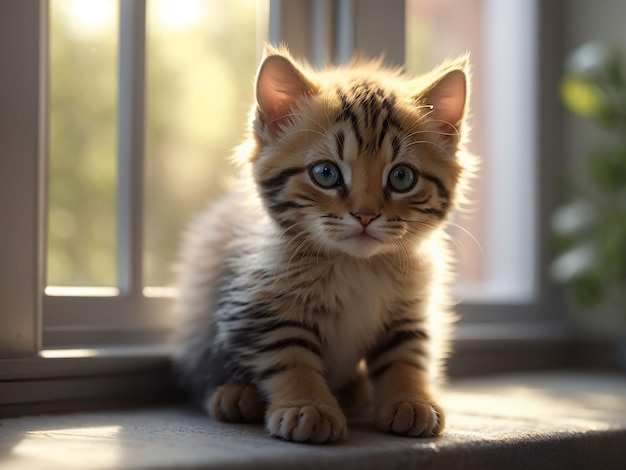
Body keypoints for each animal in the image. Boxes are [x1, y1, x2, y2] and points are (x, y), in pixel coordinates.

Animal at [172, 45, 472, 444]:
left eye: (401, 177)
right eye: (326, 174)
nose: (365, 215)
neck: (356, 265)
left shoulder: (409, 310)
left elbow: (405, 356)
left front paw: (410, 399)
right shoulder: (260, 304)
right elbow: (290, 357)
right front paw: (307, 405)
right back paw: (235, 394)